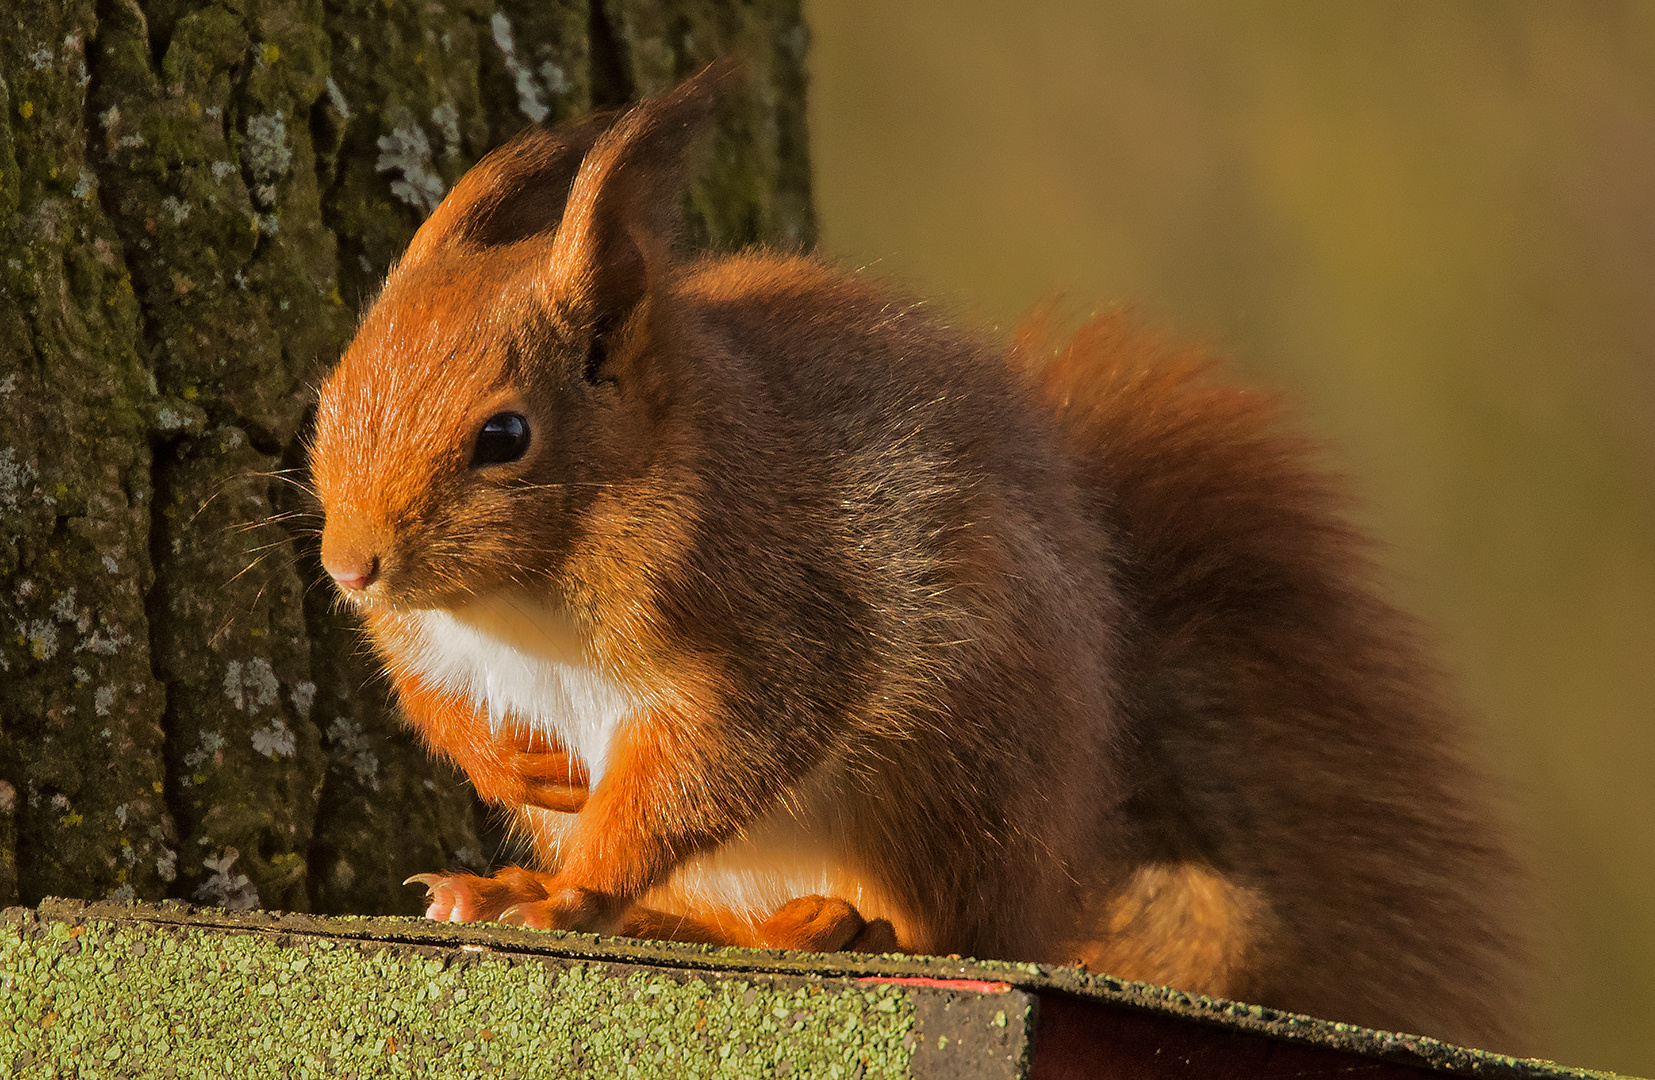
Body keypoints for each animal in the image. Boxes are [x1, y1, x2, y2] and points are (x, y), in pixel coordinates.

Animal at [307, 61, 1522, 1045]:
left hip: (947, 771)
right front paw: (509, 766)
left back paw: (837, 928)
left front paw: (567, 899)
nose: (350, 567)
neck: (517, 596)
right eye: (329, 388)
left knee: (948, 931)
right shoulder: (428, 641)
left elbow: (704, 764)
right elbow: (436, 699)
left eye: (504, 437)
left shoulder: (764, 617)